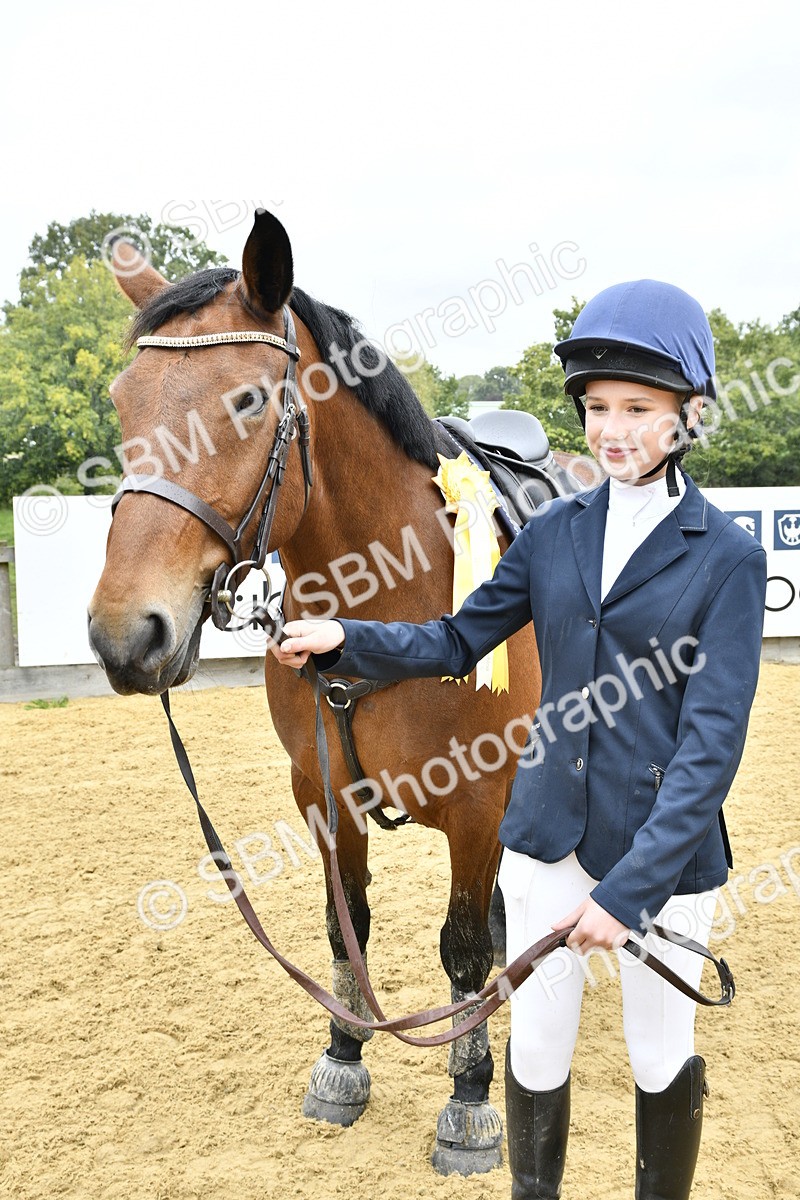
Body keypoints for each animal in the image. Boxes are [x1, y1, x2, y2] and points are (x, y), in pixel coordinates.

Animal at [87, 209, 541, 1175]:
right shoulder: (322, 790)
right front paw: (344, 1056)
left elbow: (459, 947)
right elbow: (347, 927)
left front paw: (470, 1098)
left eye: (248, 402)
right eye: (121, 399)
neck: (391, 603)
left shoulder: (479, 802)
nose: (125, 633)